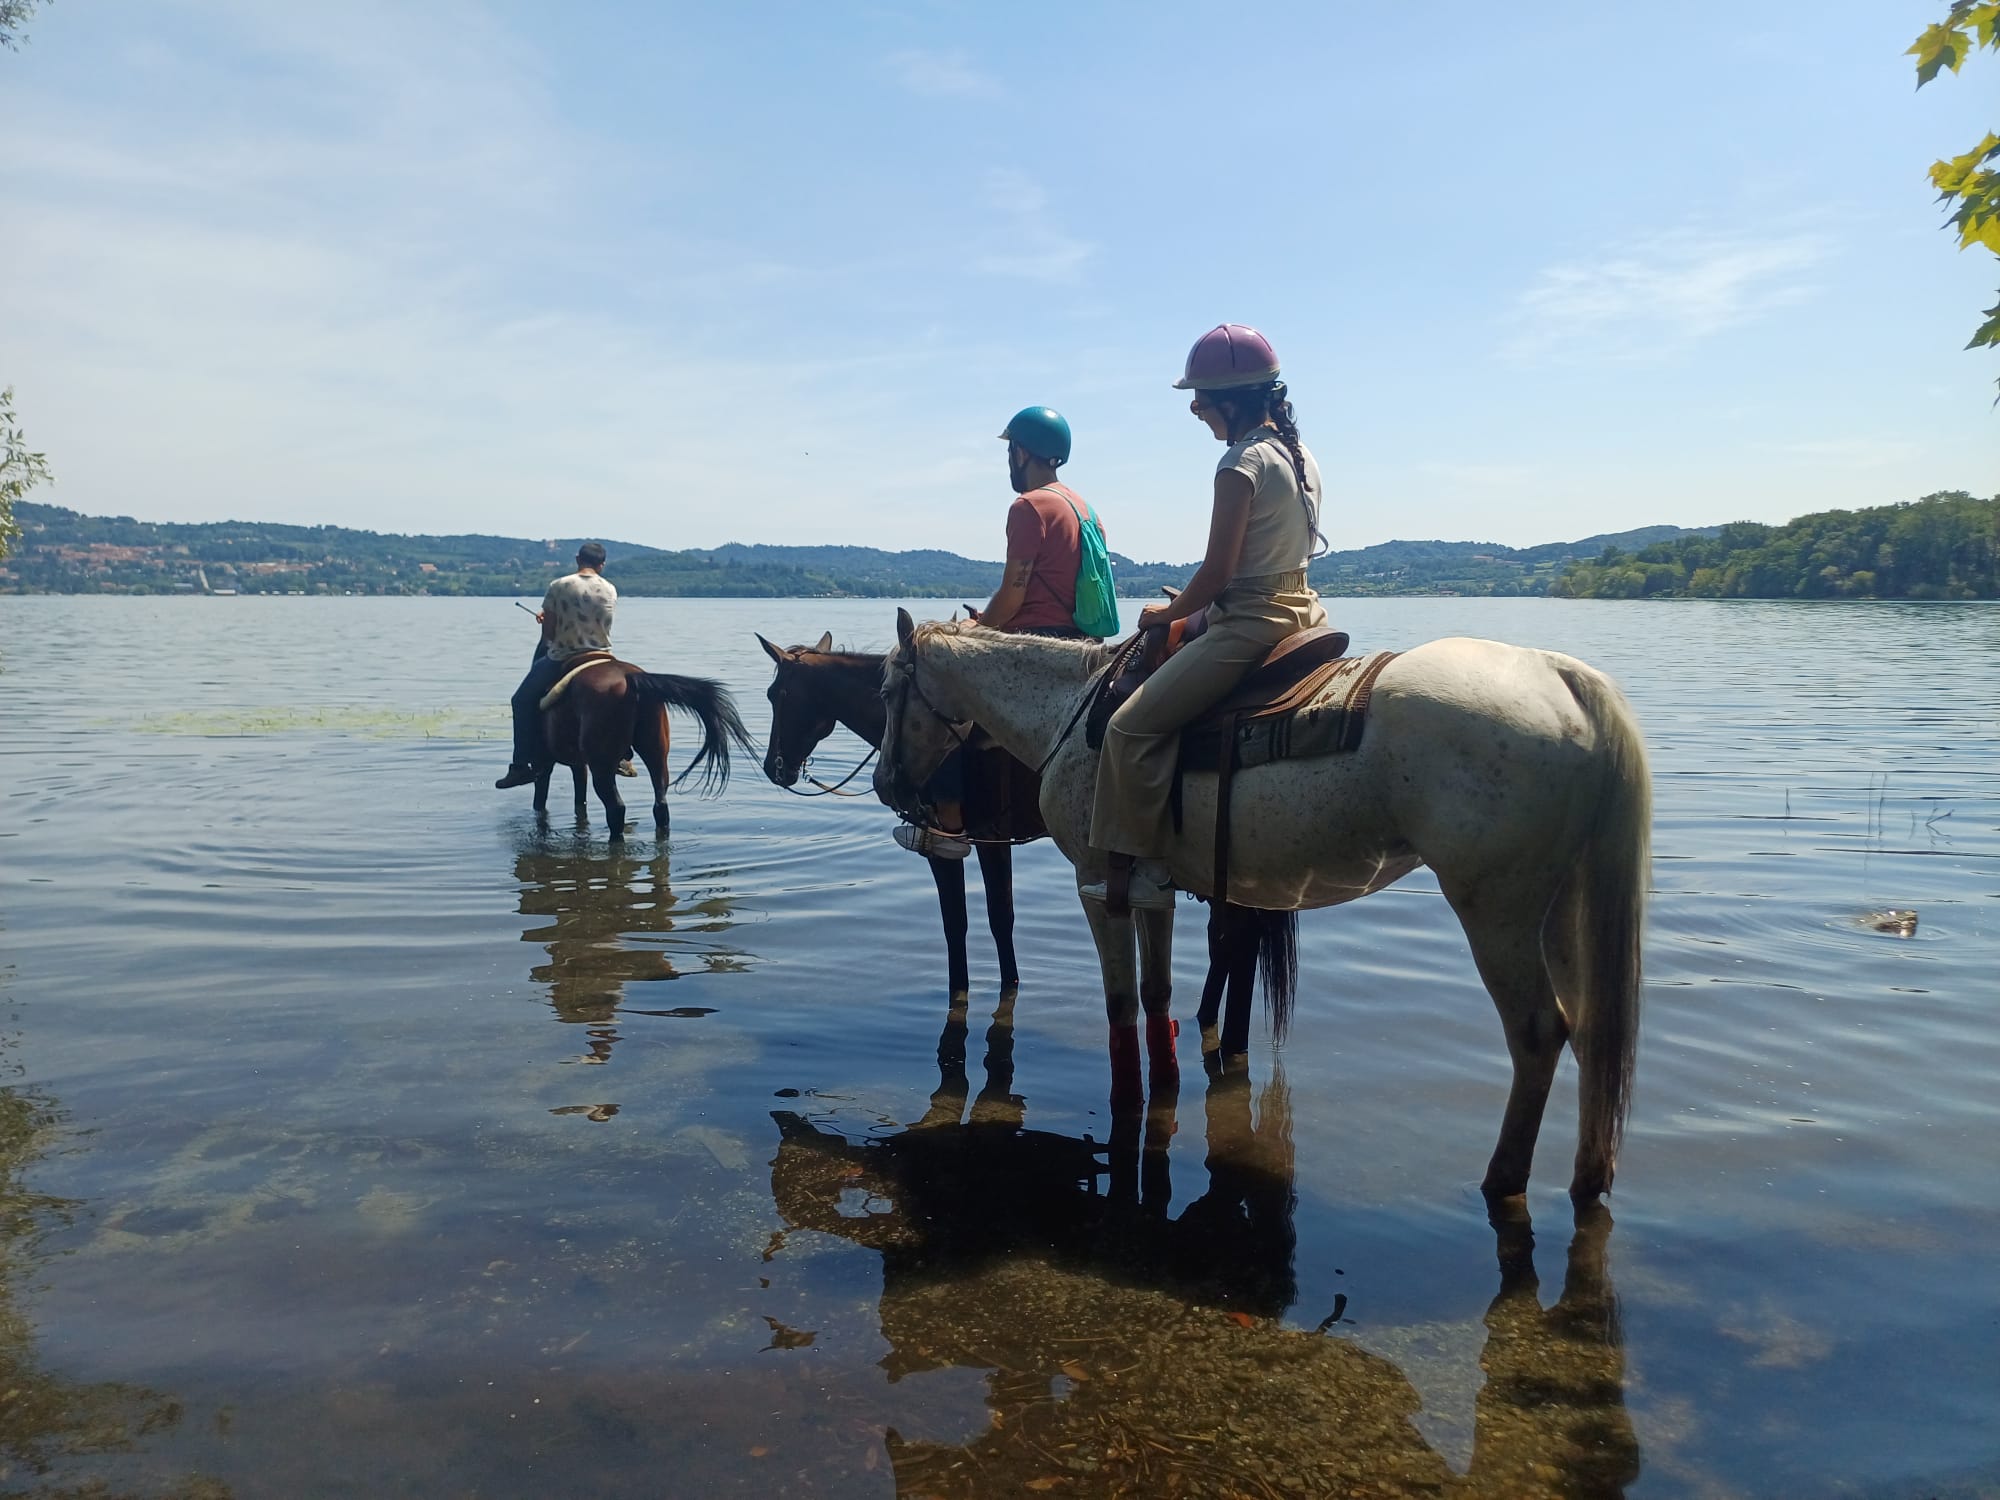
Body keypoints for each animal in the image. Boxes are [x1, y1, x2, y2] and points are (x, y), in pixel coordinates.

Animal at [532, 657, 753, 841]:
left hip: (602, 767)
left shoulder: (544, 765)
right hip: (656, 753)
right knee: (660, 805)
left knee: (616, 809)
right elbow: (577, 799)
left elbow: (541, 798)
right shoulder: (575, 765)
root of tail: (631, 678)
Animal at [756, 632, 1295, 1049]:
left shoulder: (958, 845)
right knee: (1233, 940)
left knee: (1232, 940)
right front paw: (1008, 986)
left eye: (777, 694)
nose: (773, 768)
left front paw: (963, 988)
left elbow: (963, 923)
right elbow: (1001, 921)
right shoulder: (994, 843)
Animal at [875, 612, 1651, 1205]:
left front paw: (1129, 1103)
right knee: (1590, 1030)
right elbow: (1158, 998)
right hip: (1564, 908)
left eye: (887, 690)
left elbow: (1122, 1005)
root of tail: (1558, 674)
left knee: (1538, 1033)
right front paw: (1167, 1088)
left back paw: (1503, 1178)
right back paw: (1588, 1178)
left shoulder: (1098, 884)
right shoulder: (1153, 889)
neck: (1071, 711)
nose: (885, 785)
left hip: (1495, 909)